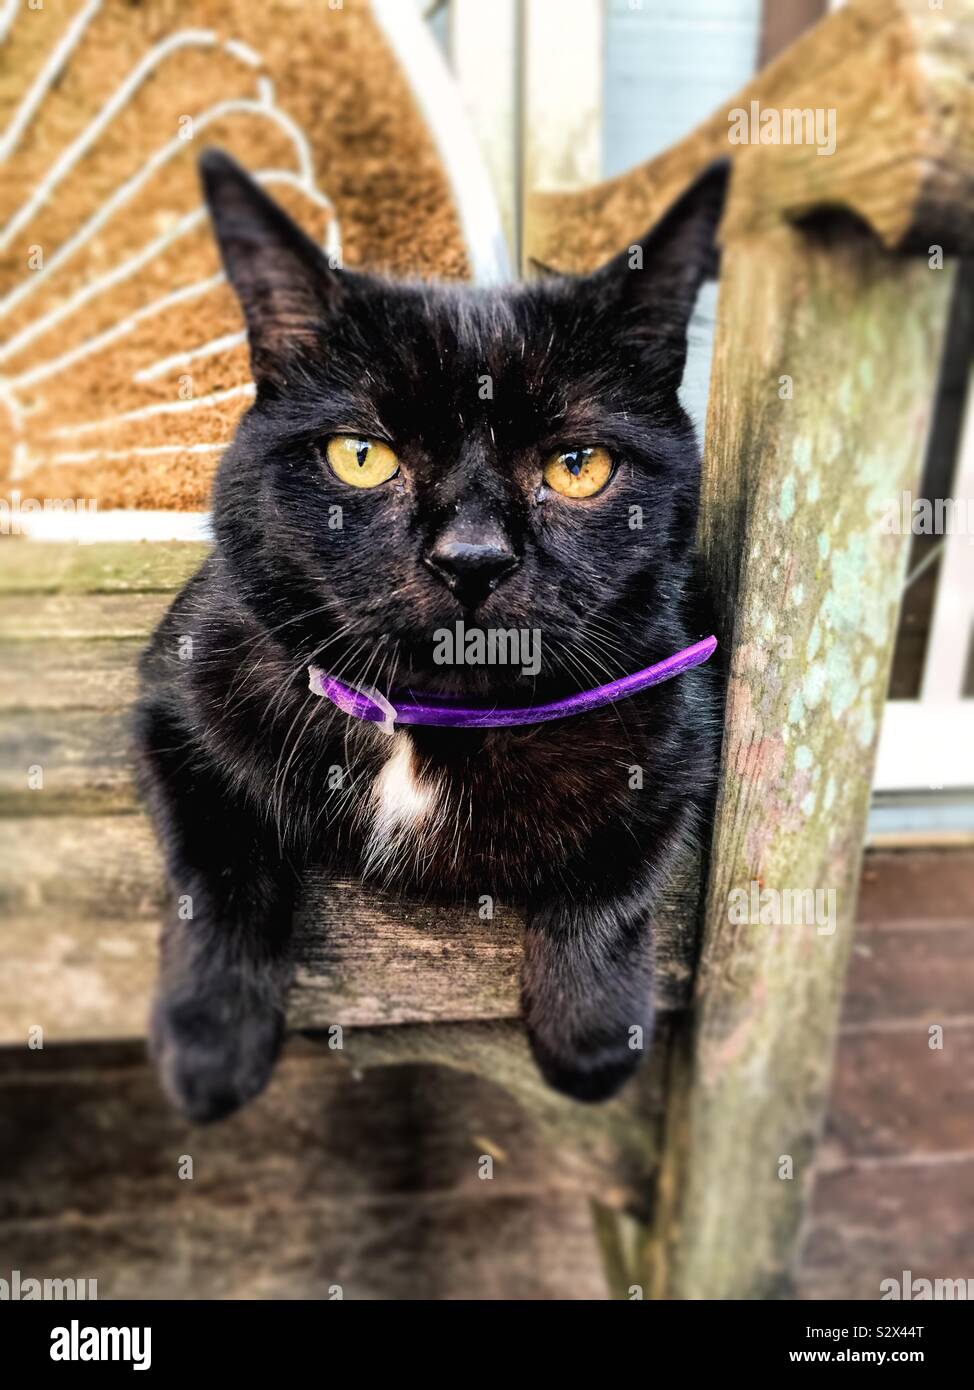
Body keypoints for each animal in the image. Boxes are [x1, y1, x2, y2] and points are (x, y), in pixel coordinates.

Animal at [138, 152, 728, 1123]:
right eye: (361, 456)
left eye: (578, 468)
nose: (472, 558)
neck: (423, 729)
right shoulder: (176, 694)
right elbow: (216, 865)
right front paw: (209, 1042)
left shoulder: (679, 723)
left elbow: (616, 877)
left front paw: (592, 1037)